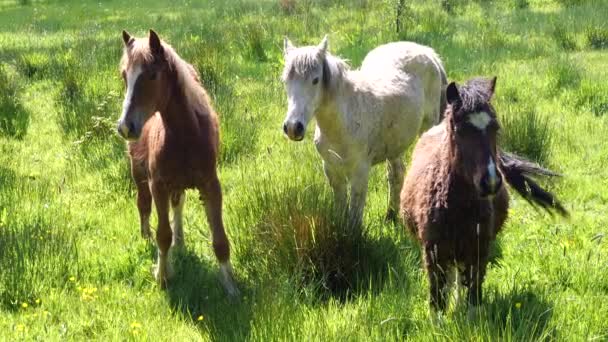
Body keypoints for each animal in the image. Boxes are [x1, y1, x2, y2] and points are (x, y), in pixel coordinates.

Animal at [116, 29, 238, 294]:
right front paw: (162, 275)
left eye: (152, 74)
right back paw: (146, 237)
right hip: (138, 173)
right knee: (143, 204)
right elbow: (163, 234)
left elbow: (220, 239)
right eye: (124, 76)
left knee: (178, 204)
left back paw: (180, 243)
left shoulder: (211, 186)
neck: (186, 135)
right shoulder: (158, 185)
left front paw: (231, 286)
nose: (125, 126)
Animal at [282, 36, 446, 226]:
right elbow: (341, 205)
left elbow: (355, 211)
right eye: (285, 81)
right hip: (395, 144)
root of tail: (428, 52)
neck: (343, 123)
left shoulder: (360, 171)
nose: (293, 127)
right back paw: (391, 215)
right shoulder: (331, 169)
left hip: (428, 127)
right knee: (396, 174)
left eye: (315, 80)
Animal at [402, 76, 568, 316]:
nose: (490, 182)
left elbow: (473, 299)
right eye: (460, 130)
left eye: (495, 128)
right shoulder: (433, 251)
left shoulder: (478, 251)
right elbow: (437, 302)